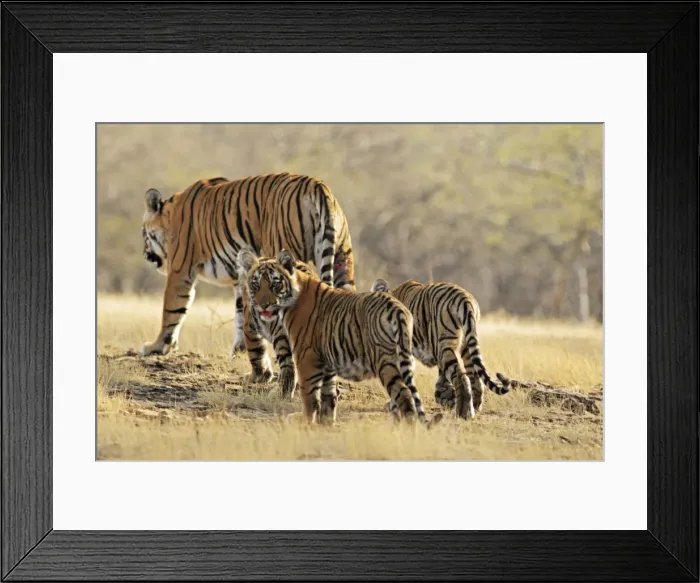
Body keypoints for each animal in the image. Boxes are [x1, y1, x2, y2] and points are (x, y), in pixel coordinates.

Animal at [140, 172, 355, 367]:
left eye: (143, 233)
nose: (145, 255)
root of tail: (317, 185)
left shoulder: (180, 270)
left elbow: (171, 310)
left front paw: (157, 347)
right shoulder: (241, 278)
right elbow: (240, 313)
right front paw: (240, 351)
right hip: (342, 259)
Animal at [237, 248, 440, 427]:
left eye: (275, 284)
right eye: (255, 284)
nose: (263, 305)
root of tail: (396, 306)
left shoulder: (306, 356)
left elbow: (309, 394)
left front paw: (306, 422)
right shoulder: (327, 362)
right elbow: (328, 396)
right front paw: (325, 424)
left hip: (385, 361)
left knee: (404, 395)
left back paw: (408, 429)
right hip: (405, 358)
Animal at [370, 279, 510, 419]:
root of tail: (464, 298)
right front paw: (446, 396)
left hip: (444, 345)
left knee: (461, 377)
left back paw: (462, 413)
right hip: (466, 345)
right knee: (474, 377)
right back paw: (473, 407)